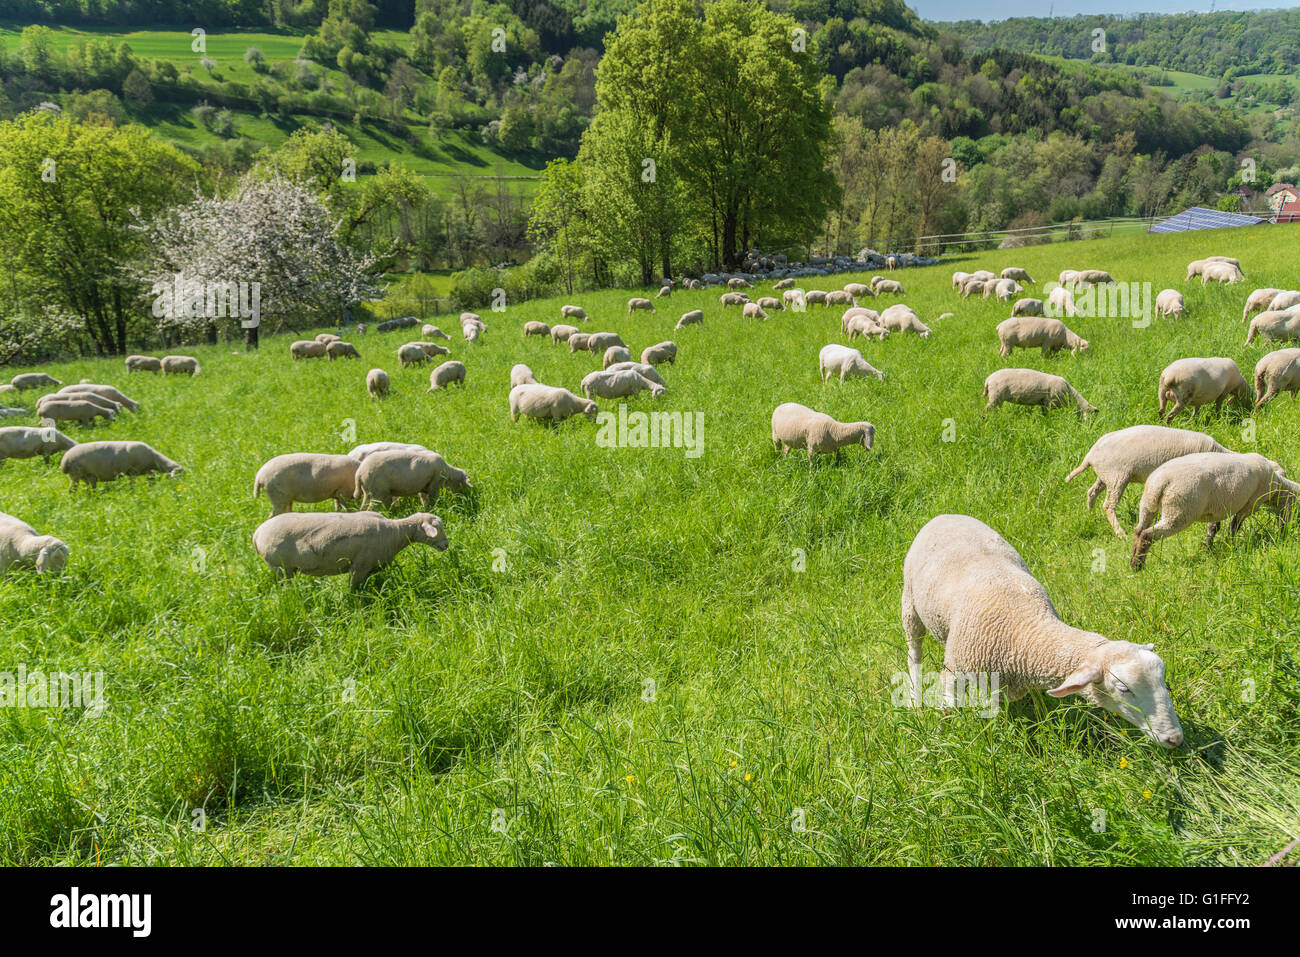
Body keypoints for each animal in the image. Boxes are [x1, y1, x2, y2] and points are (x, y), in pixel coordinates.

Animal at [250, 512, 449, 587]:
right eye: (437, 529)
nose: (447, 545)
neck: (396, 532)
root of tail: (257, 533)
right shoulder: (360, 565)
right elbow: (353, 588)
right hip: (280, 566)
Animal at [899, 514, 1185, 748]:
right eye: (1124, 689)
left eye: (1163, 679)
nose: (1175, 739)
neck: (1026, 626)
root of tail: (944, 515)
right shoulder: (955, 669)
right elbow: (948, 708)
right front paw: (940, 739)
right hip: (910, 603)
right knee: (914, 652)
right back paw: (914, 695)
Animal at [1066, 426, 1227, 538]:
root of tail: (1090, 455)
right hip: (1117, 476)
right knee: (1108, 506)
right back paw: (1121, 533)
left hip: (1106, 476)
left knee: (1091, 492)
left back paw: (1090, 515)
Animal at [1128, 447, 1300, 566]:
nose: (1288, 530)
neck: (1277, 487)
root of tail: (1160, 483)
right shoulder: (1249, 505)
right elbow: (1234, 527)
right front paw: (1229, 545)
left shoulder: (1218, 507)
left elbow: (1214, 527)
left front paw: (1207, 548)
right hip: (1178, 512)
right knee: (1147, 535)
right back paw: (1138, 566)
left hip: (1147, 505)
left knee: (1138, 531)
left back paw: (1133, 560)